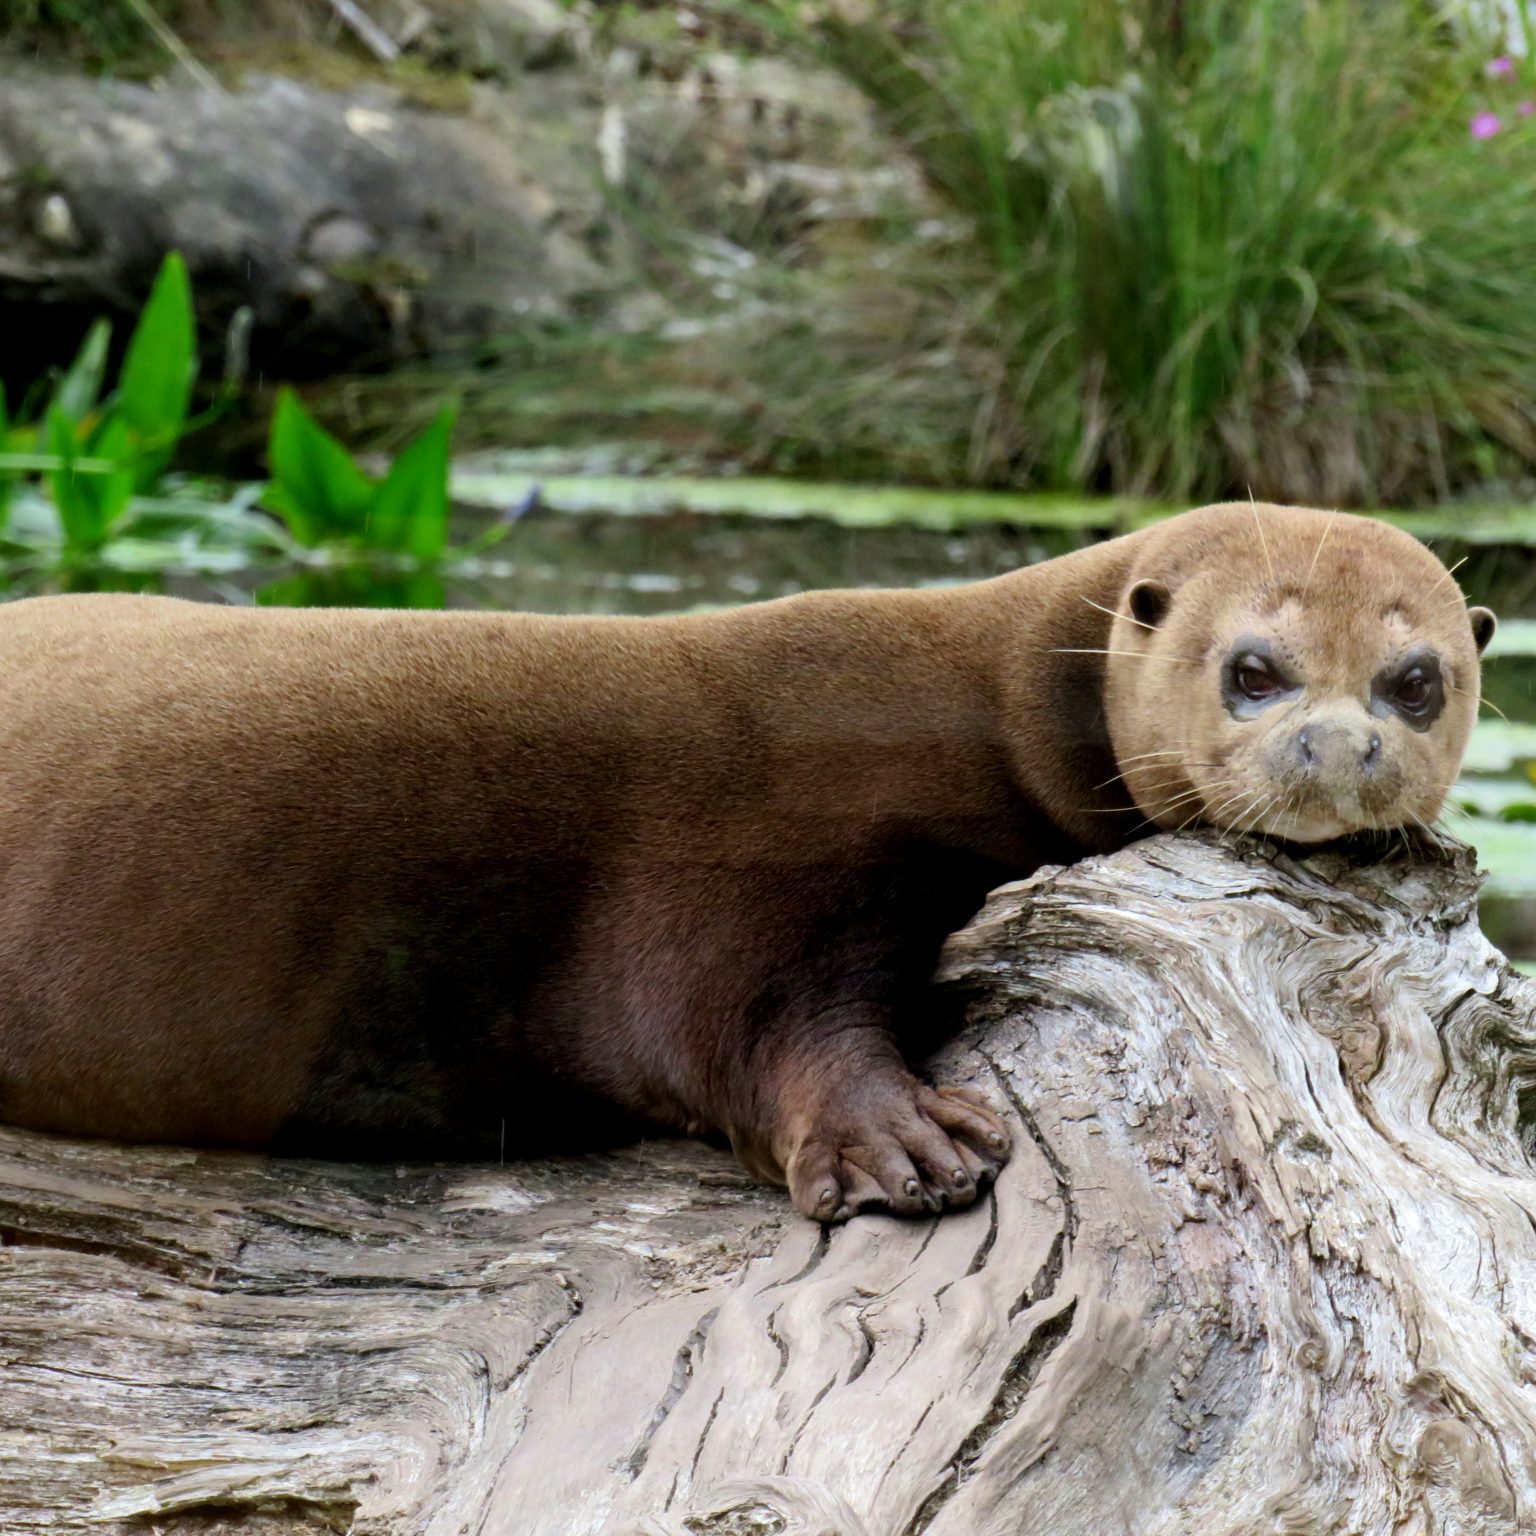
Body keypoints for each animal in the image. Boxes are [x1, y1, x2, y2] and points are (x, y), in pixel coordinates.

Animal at [0, 506, 1492, 1222]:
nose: (1345, 747)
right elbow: (751, 1016)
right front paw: (899, 1143)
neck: (969, 705)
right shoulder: (757, 852)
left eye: (1416, 680)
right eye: (1256, 669)